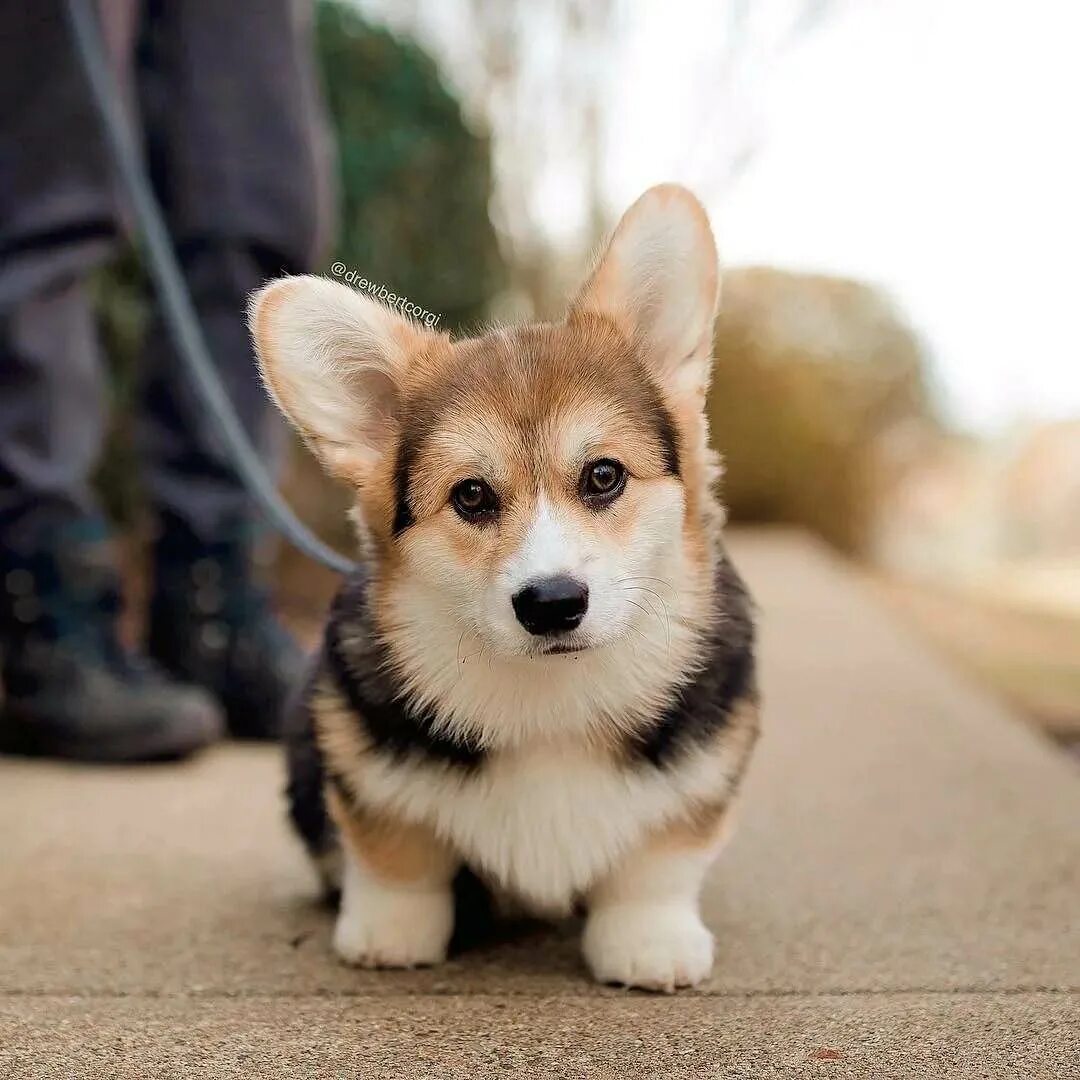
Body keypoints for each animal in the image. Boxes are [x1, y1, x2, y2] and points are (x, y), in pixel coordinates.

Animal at [249, 183, 764, 989]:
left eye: (604, 476)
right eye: (471, 496)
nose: (552, 604)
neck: (550, 701)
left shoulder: (701, 774)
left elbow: (658, 864)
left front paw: (651, 942)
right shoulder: (363, 765)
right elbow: (397, 857)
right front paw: (390, 933)